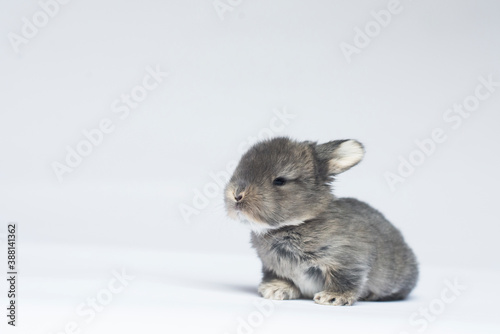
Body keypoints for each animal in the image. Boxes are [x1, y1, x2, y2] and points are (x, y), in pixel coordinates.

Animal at [224, 136, 418, 306]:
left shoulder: (347, 262)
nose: (237, 194)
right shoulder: (272, 267)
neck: (297, 223)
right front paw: (276, 290)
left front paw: (332, 297)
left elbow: (346, 279)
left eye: (279, 181)